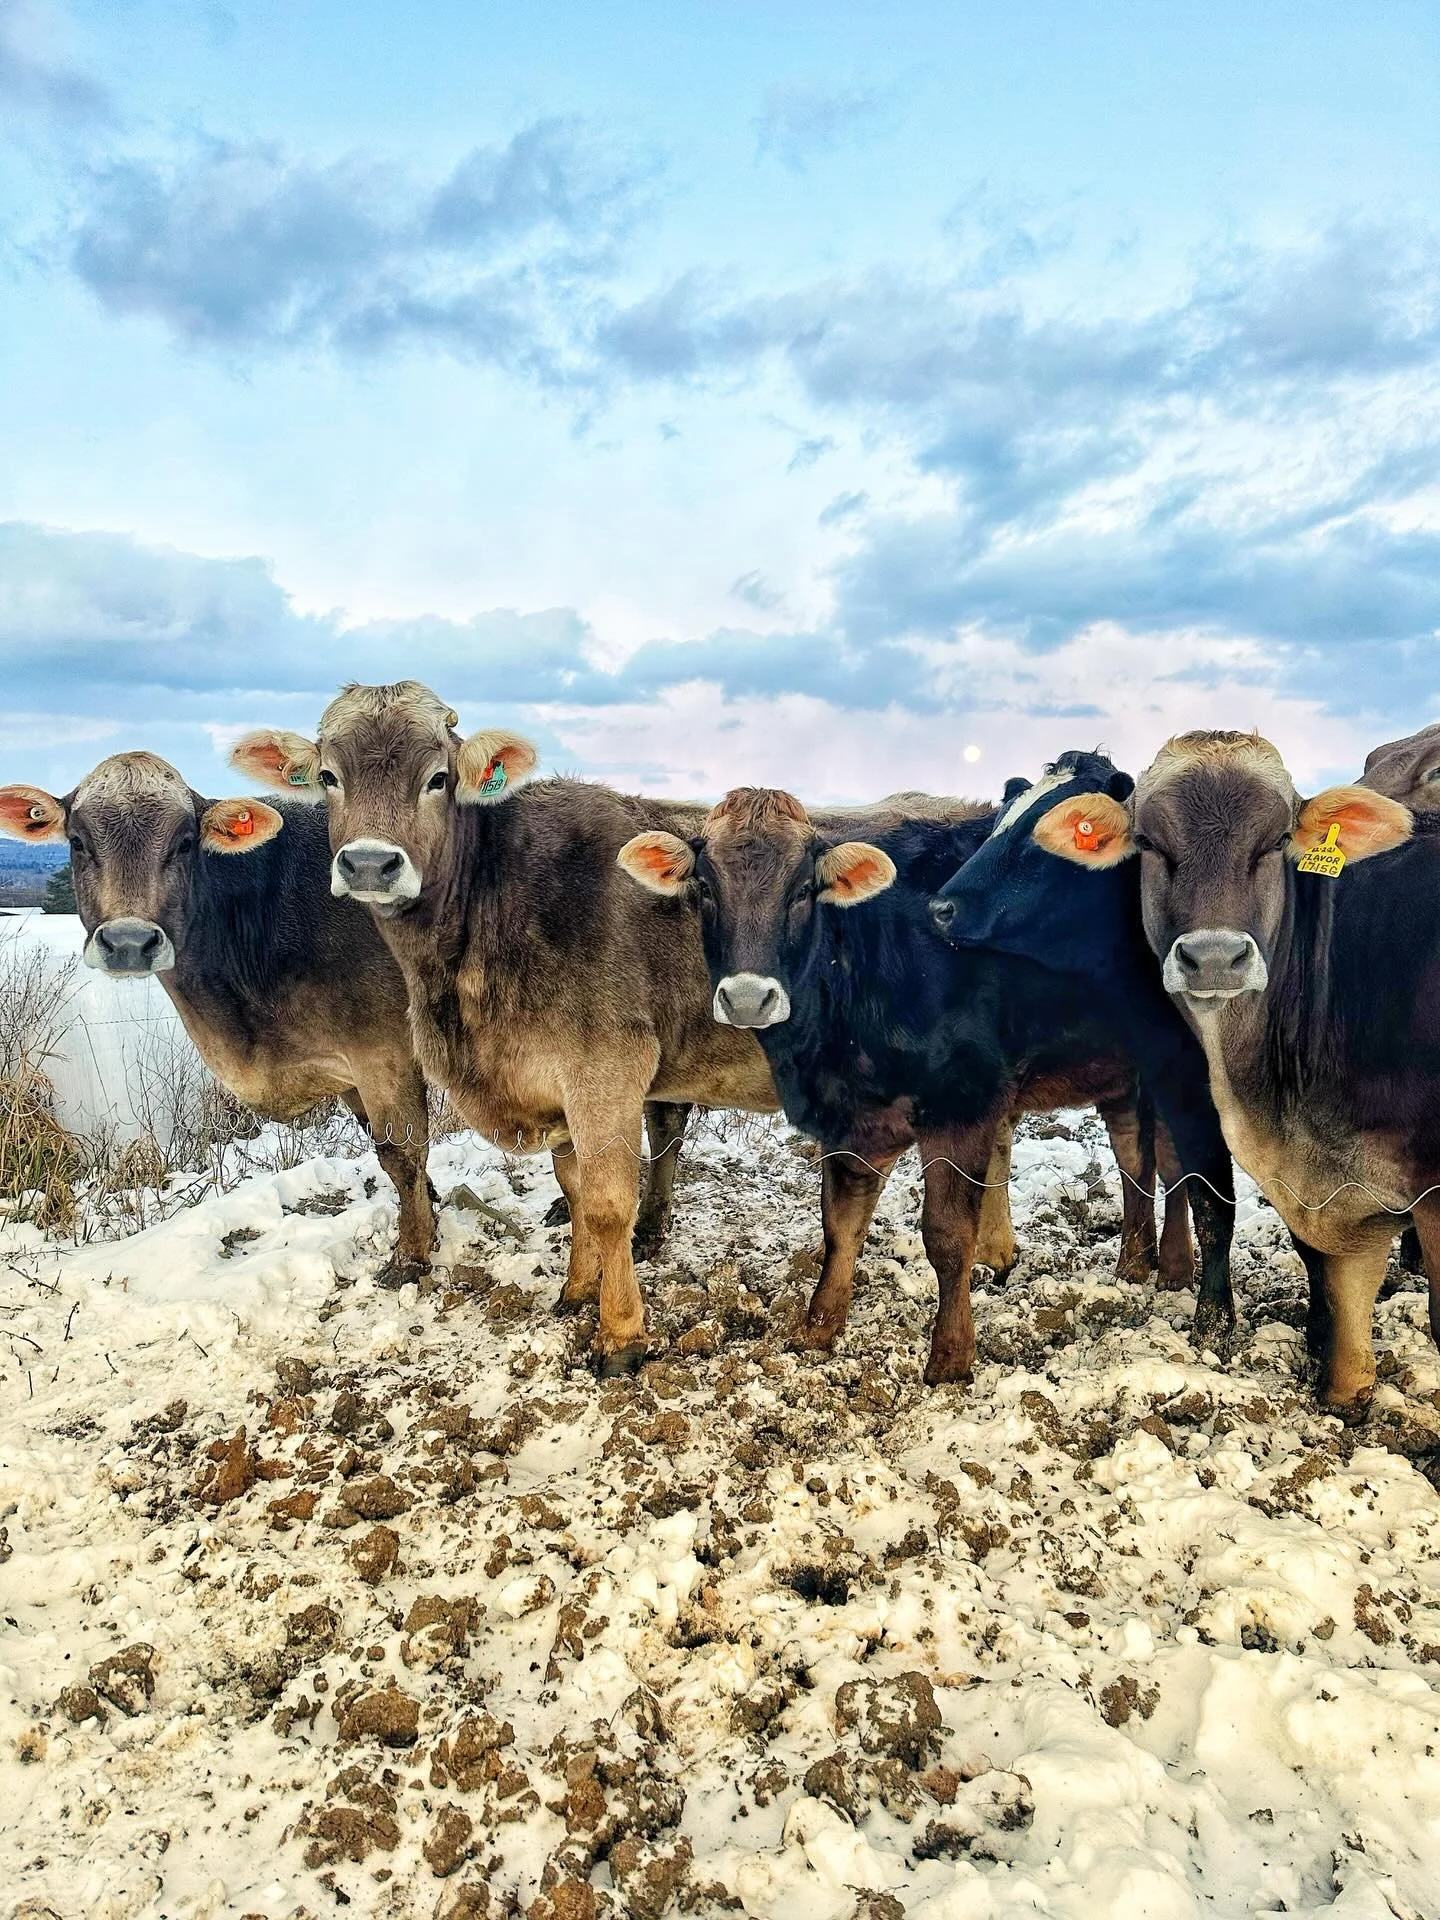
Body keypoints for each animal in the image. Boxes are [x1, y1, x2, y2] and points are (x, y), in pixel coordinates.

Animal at [0, 751, 438, 1280]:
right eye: (77, 841)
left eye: (185, 842)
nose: (129, 942)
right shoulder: (350, 1067)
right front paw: (433, 1214)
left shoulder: (382, 1048)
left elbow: (400, 1154)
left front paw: (412, 1255)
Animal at [229, 682, 783, 1376]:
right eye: (330, 776)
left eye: (437, 779)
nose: (370, 864)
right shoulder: (554, 1083)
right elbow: (574, 1189)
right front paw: (576, 1292)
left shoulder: (607, 1068)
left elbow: (607, 1204)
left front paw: (620, 1335)